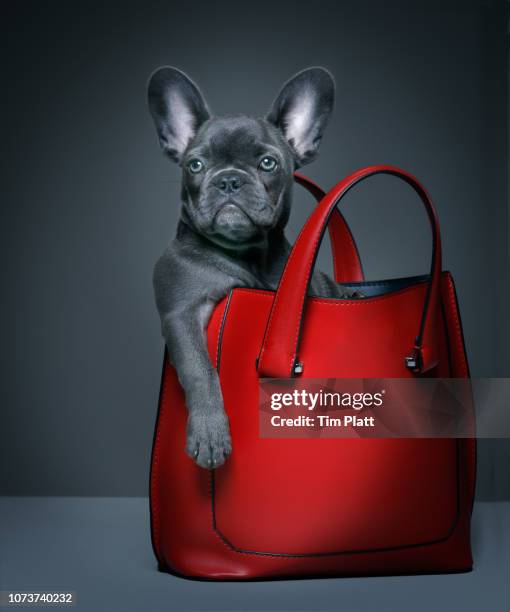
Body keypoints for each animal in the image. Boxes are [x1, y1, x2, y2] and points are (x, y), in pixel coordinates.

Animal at [147, 65, 354, 468]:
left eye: (268, 163)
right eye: (195, 165)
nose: (229, 179)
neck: (246, 256)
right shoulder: (182, 312)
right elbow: (200, 368)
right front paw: (210, 432)